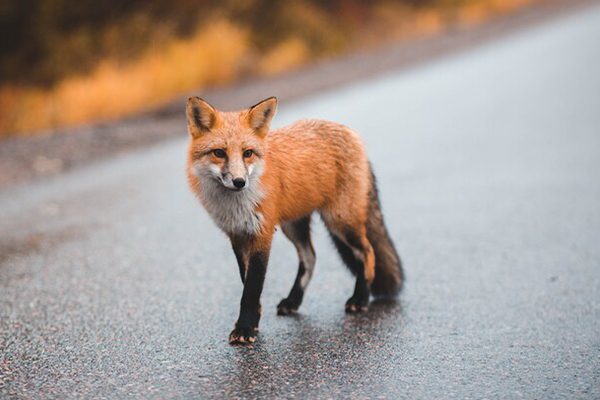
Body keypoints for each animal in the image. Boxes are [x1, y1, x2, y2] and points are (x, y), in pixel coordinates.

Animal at [186, 97, 404, 344]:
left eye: (248, 153)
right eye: (219, 153)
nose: (240, 182)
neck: (236, 205)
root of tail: (349, 131)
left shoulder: (262, 233)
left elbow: (252, 288)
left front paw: (245, 328)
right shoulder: (237, 235)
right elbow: (246, 283)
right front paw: (253, 322)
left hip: (340, 221)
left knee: (367, 252)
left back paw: (360, 299)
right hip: (293, 225)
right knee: (310, 257)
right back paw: (294, 301)